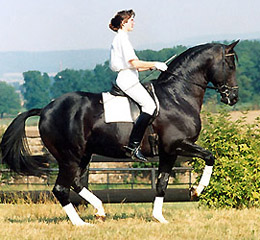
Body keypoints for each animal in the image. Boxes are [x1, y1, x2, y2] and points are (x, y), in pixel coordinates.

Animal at [0, 40, 240, 226]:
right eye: (230, 65)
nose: (233, 98)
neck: (177, 95)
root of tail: (45, 109)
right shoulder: (177, 144)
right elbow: (210, 156)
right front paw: (197, 190)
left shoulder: (168, 152)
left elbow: (162, 183)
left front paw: (159, 218)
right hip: (69, 156)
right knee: (61, 188)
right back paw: (81, 223)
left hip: (83, 154)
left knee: (76, 182)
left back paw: (100, 210)